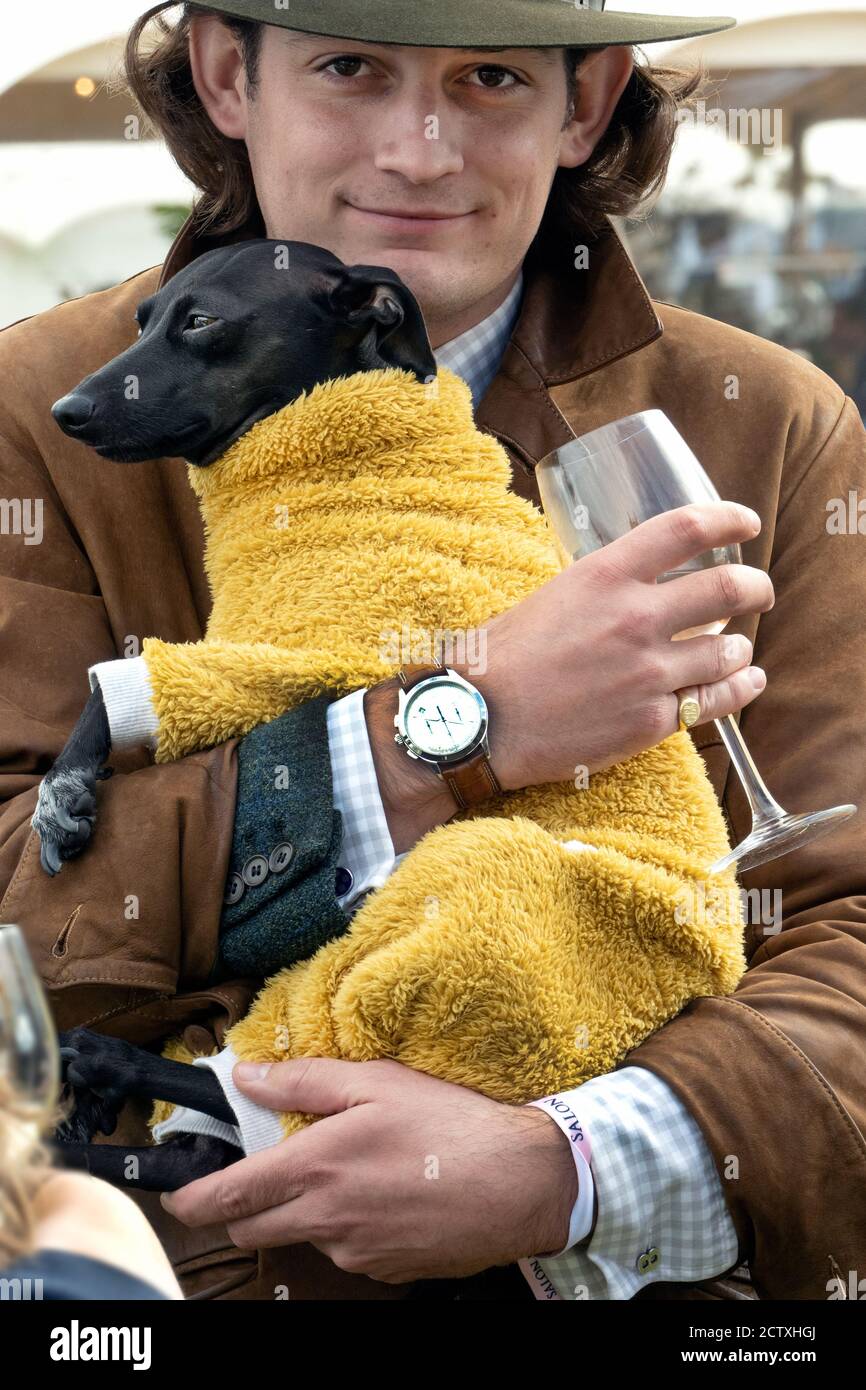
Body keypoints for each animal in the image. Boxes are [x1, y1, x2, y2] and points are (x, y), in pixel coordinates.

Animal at [37, 236, 436, 1184]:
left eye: (201, 321)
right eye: (143, 318)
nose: (67, 410)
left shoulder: (297, 655)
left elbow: (118, 684)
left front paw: (65, 791)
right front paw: (63, 796)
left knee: (246, 1098)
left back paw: (100, 1064)